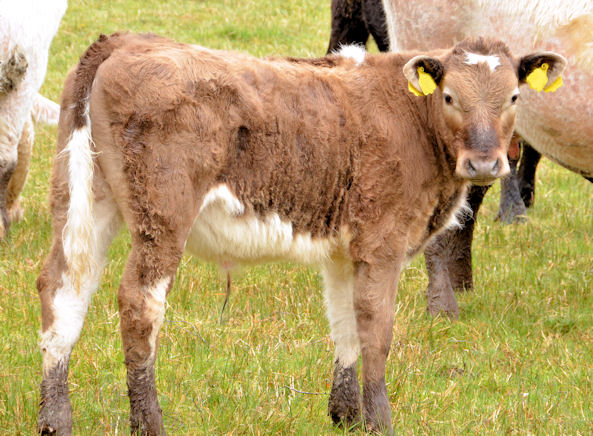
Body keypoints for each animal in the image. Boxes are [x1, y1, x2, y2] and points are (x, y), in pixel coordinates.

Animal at [37, 32, 564, 434]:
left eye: (514, 97)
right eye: (450, 96)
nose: (485, 164)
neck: (414, 119)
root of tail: (125, 40)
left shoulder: (345, 250)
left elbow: (345, 324)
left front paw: (346, 416)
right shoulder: (382, 241)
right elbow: (377, 329)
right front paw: (380, 421)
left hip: (84, 198)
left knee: (63, 288)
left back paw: (55, 420)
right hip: (162, 214)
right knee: (138, 304)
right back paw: (149, 423)